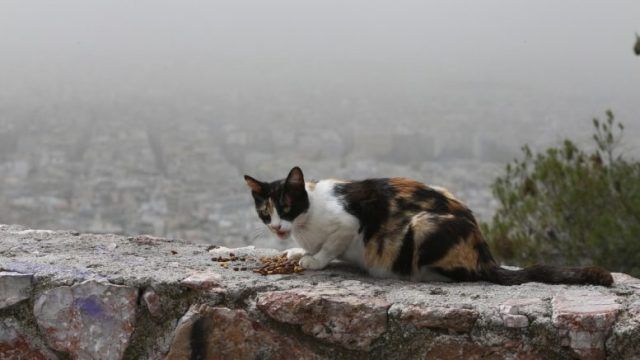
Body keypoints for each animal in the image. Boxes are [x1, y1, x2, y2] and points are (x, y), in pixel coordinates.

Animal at [242, 167, 612, 286]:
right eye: (264, 212)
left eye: (287, 207)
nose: (277, 228)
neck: (307, 218)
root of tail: (484, 254)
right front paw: (295, 251)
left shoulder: (349, 222)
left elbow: (330, 246)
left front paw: (313, 259)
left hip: (423, 226)